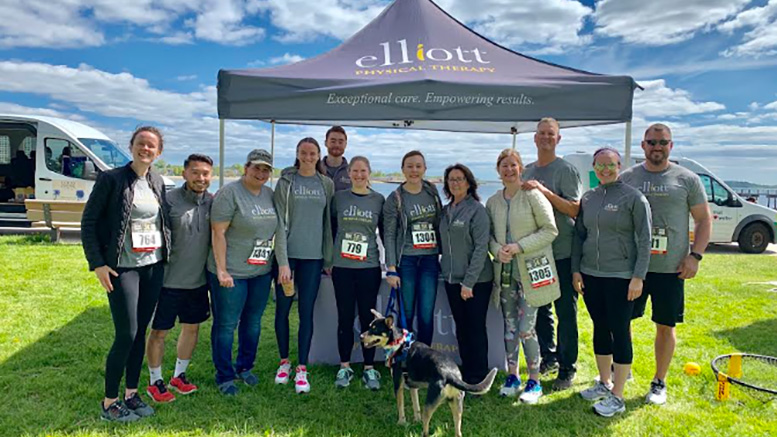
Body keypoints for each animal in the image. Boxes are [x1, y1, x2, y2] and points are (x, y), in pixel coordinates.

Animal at [360, 308, 494, 434]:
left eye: (374, 329)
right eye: (369, 327)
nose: (360, 336)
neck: (398, 344)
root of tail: (451, 374)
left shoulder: (398, 384)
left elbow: (400, 406)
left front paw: (401, 423)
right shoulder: (413, 386)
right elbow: (416, 406)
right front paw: (416, 420)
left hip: (430, 405)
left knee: (426, 429)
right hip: (457, 406)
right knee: (458, 432)